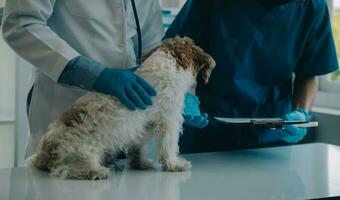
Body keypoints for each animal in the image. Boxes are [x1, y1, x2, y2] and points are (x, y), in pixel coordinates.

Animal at [28, 37, 215, 180]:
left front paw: (141, 163)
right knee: (64, 169)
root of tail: (44, 149)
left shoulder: (141, 126)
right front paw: (175, 164)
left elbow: (138, 147)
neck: (166, 61)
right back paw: (96, 171)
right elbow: (168, 146)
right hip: (83, 153)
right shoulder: (169, 120)